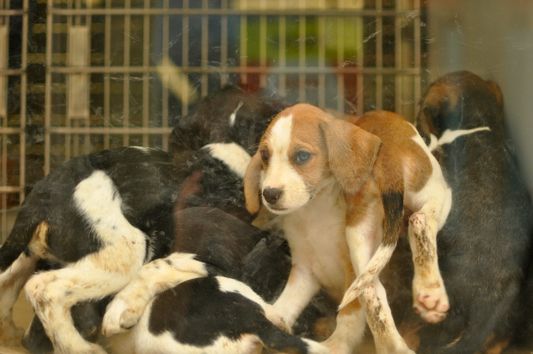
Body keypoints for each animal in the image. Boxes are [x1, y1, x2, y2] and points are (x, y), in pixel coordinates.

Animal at [243, 103, 450, 354]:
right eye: (265, 155)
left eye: (302, 156)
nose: (270, 194)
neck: (314, 209)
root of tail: (385, 142)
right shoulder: (304, 273)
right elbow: (284, 307)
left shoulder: (335, 270)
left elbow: (349, 314)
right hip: (369, 230)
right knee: (376, 282)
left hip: (426, 198)